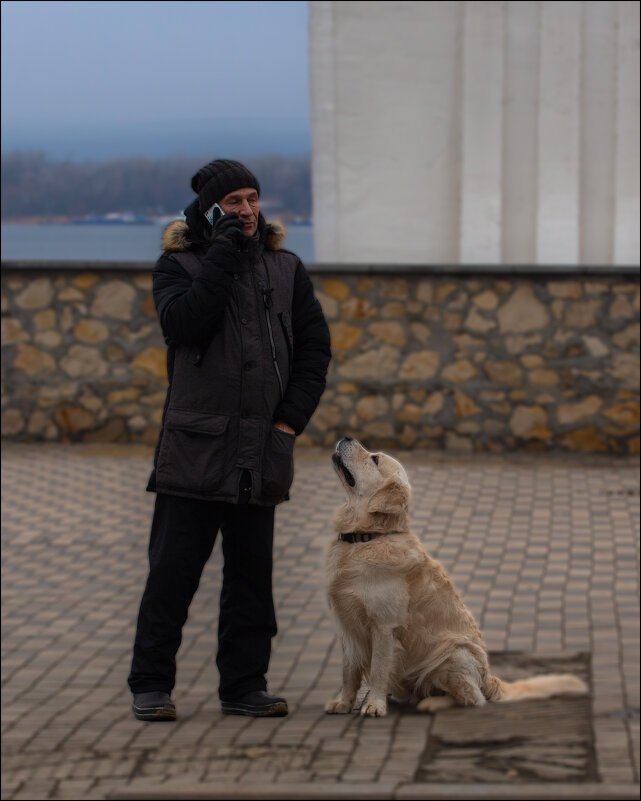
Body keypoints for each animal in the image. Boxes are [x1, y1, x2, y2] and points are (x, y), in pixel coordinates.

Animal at [328, 438, 588, 720]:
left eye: (374, 459)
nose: (347, 437)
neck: (365, 538)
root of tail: (489, 678)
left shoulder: (384, 626)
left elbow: (377, 670)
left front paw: (374, 704)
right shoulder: (346, 626)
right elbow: (349, 673)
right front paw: (342, 702)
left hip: (453, 654)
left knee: (471, 698)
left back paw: (432, 703)